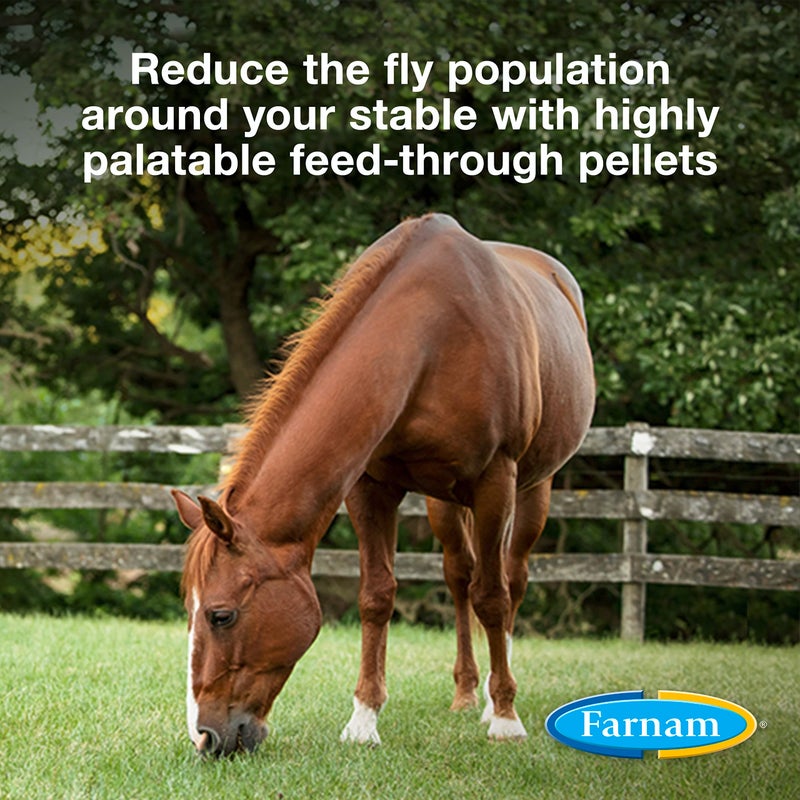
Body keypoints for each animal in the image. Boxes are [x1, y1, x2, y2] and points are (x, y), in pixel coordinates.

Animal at [172, 213, 594, 756]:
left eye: (220, 615)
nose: (204, 736)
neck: (431, 337)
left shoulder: (495, 480)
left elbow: (493, 597)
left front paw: (505, 718)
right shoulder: (369, 487)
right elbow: (377, 597)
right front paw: (363, 720)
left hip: (530, 488)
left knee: (510, 580)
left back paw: (492, 699)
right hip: (444, 502)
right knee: (459, 575)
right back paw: (465, 691)